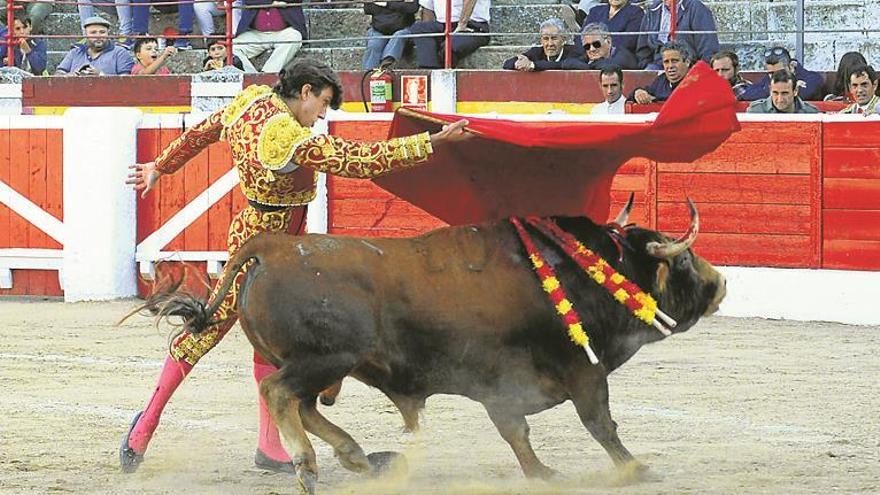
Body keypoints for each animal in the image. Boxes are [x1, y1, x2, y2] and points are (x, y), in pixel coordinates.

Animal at [143, 199, 720, 495]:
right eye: (683, 262)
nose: (719, 284)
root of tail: (275, 246)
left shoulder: (501, 386)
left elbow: (517, 433)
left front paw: (542, 474)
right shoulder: (581, 370)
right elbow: (600, 423)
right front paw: (635, 469)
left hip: (321, 364)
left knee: (300, 403)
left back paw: (358, 457)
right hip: (325, 360)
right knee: (280, 394)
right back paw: (308, 465)